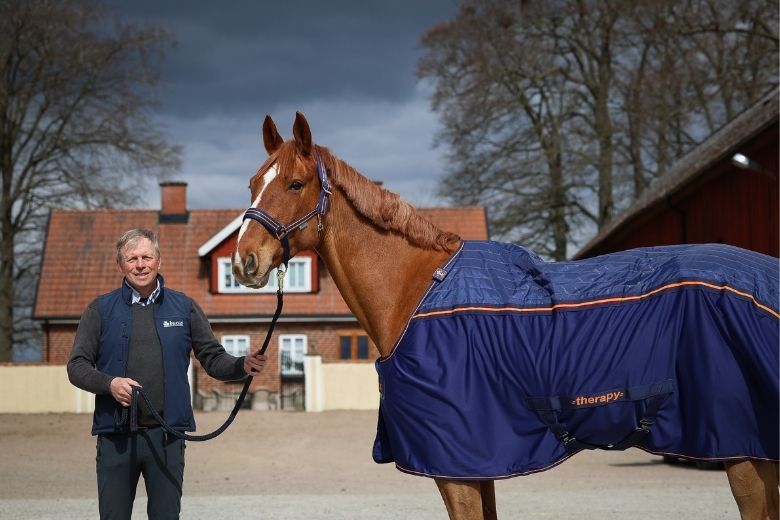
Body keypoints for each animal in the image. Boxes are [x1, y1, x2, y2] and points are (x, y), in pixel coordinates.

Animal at [231, 112, 779, 520]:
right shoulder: (479, 464)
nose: (244, 262)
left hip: (743, 452)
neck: (417, 293)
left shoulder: (456, 466)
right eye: (254, 183)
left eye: (296, 183)